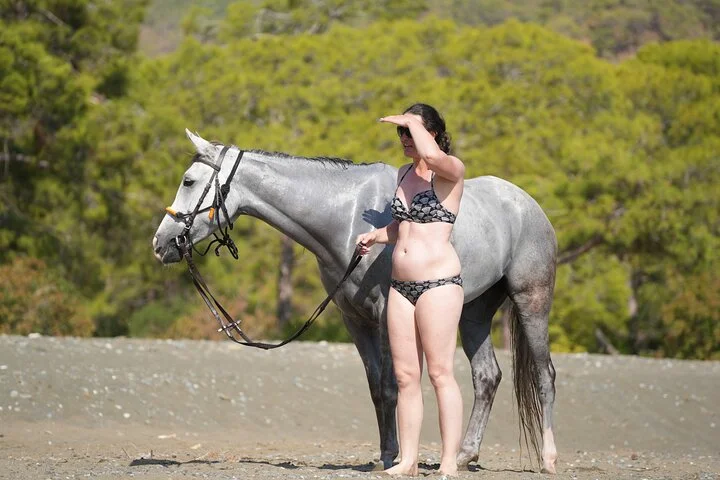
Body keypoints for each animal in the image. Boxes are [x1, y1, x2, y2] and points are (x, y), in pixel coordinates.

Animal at [152, 130, 559, 473]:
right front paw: (385, 455)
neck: (345, 218)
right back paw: (463, 455)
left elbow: (393, 386)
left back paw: (548, 459)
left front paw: (396, 458)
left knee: (545, 377)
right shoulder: (355, 320)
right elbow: (377, 388)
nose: (161, 243)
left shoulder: (385, 315)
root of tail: (529, 205)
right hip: (471, 313)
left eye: (189, 181)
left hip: (531, 303)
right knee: (487, 376)